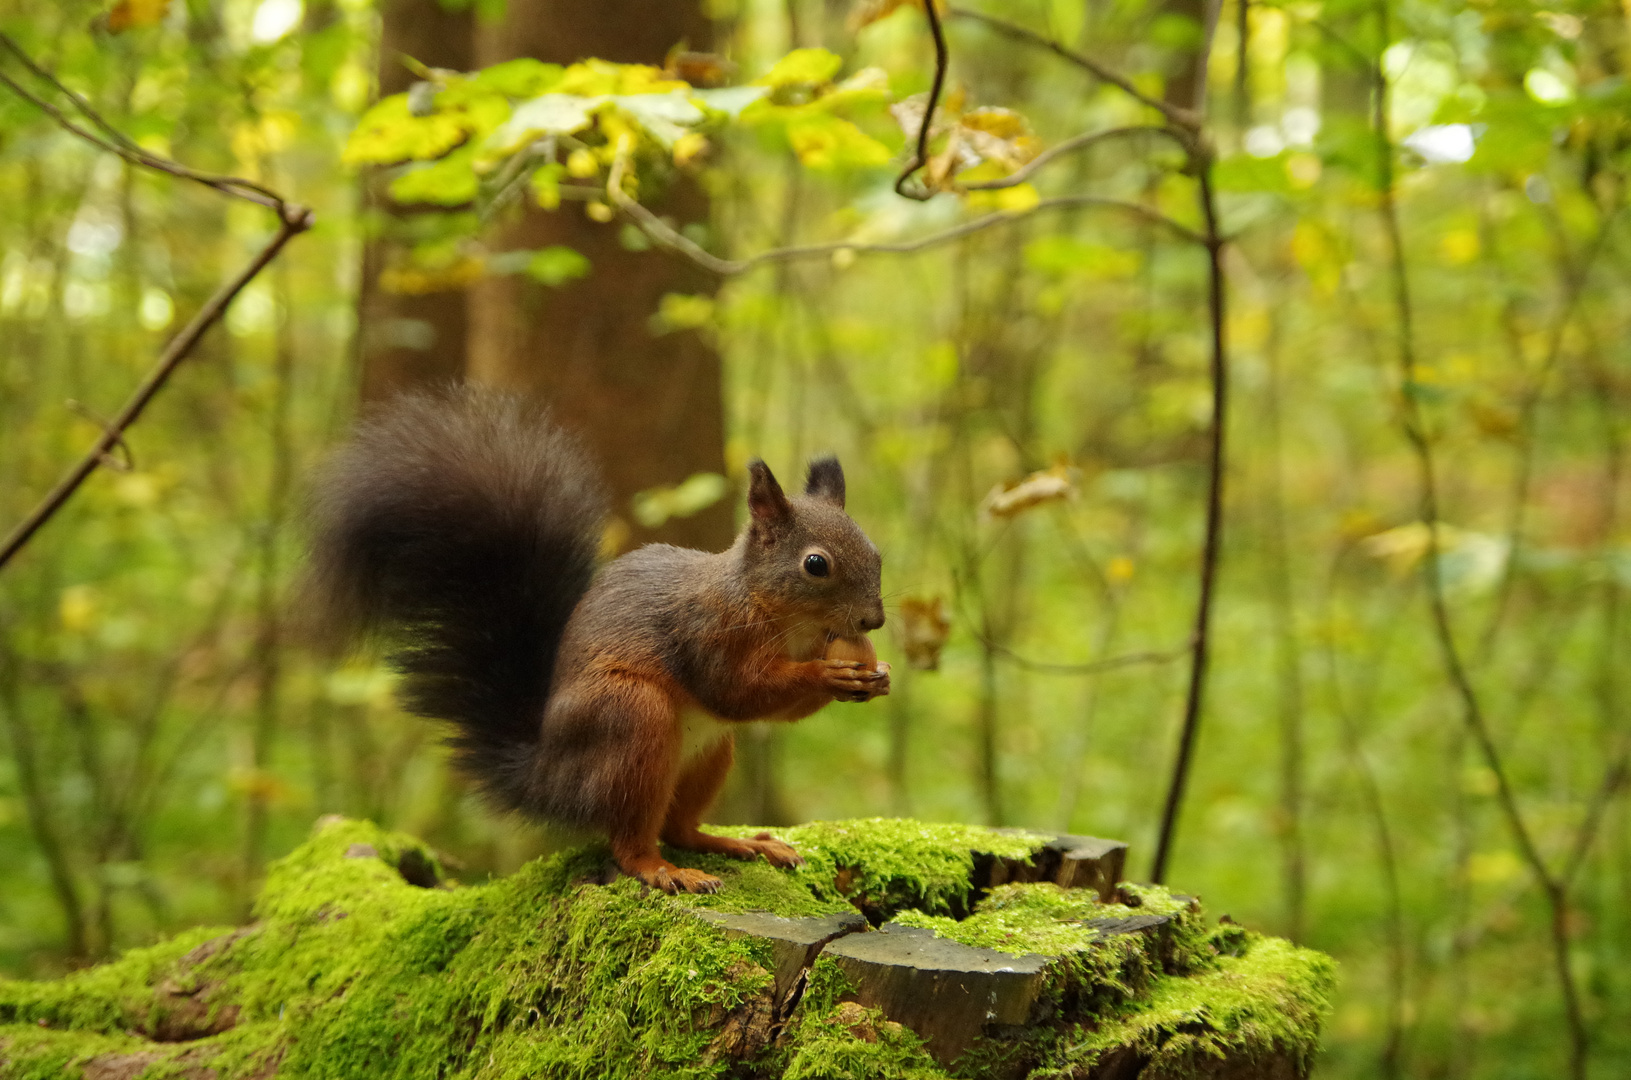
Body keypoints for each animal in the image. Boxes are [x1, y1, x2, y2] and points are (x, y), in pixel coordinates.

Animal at [306, 389, 893, 894]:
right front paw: (828, 674)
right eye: (815, 565)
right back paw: (664, 871)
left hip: (708, 753)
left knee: (679, 828)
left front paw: (878, 677)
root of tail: (547, 777)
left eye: (876, 553)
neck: (787, 620)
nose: (874, 621)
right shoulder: (706, 634)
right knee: (630, 842)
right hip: (631, 720)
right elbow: (738, 692)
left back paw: (740, 844)